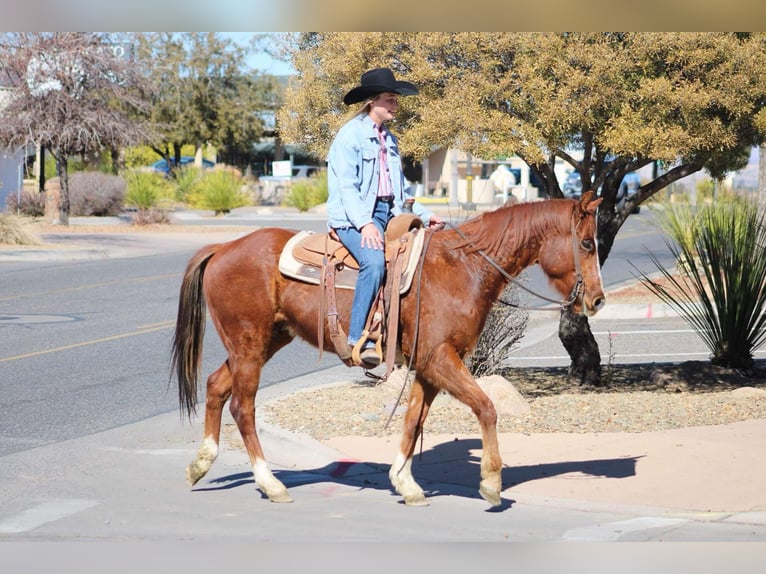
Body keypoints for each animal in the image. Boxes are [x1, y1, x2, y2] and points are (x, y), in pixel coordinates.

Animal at [172, 191, 608, 506]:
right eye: (587, 243)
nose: (598, 300)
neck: (462, 268)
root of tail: (223, 248)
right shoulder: (440, 358)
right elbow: (486, 407)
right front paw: (491, 480)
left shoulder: (429, 365)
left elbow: (413, 419)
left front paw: (405, 482)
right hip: (249, 345)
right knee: (242, 407)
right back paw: (271, 483)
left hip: (264, 342)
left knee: (215, 386)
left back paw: (200, 464)